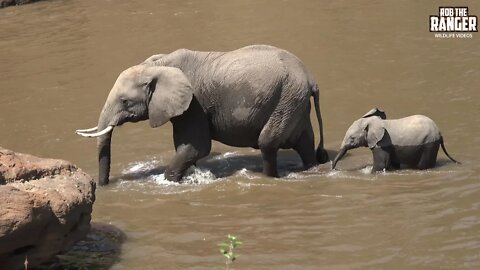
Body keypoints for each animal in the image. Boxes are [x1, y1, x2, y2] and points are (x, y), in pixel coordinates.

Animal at [76, 45, 330, 185]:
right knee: (305, 143)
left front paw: (169, 181)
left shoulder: (194, 104)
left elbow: (195, 147)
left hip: (286, 99)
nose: (103, 185)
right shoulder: (185, 108)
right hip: (294, 102)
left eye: (125, 102)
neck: (158, 65)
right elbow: (187, 147)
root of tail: (311, 79)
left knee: (267, 143)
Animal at [332, 108, 460, 172]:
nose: (334, 169)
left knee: (423, 166)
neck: (374, 122)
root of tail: (440, 133)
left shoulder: (381, 144)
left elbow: (380, 165)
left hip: (429, 144)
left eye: (352, 138)